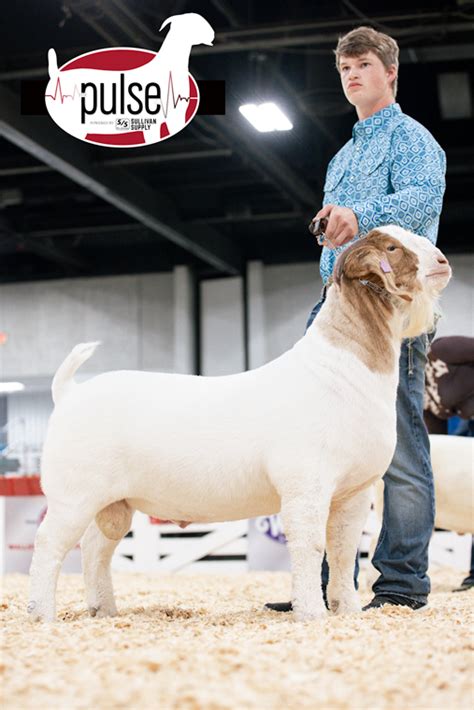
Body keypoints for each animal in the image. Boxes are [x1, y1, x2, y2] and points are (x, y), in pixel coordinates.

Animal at [27, 228, 450, 624]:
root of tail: (69, 392)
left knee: (95, 549)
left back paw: (104, 610)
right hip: (72, 494)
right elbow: (311, 548)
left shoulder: (355, 490)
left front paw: (347, 611)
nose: (443, 261)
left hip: (114, 501)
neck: (341, 369)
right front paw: (312, 614)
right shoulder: (306, 485)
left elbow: (344, 554)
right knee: (48, 546)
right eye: (392, 247)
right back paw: (42, 614)